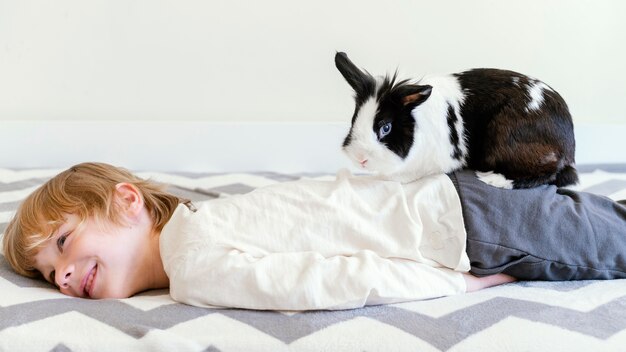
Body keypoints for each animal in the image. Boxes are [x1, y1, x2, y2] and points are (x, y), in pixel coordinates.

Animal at [334, 51, 576, 190]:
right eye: (354, 118)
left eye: (386, 127)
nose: (361, 159)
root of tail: (568, 147)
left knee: (549, 173)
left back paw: (493, 179)